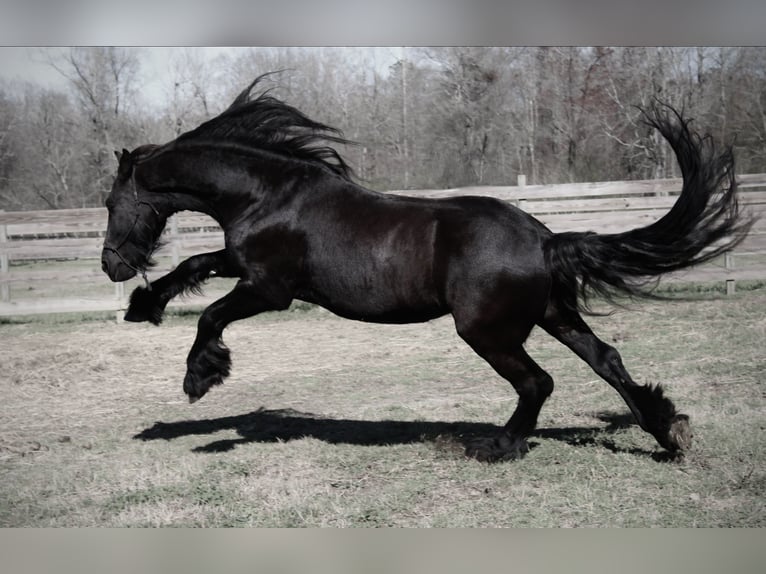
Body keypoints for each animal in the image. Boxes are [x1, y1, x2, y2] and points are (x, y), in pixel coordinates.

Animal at [99, 75, 752, 464]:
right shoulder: (243, 264)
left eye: (110, 203)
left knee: (538, 382)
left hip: (487, 330)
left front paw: (199, 380)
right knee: (607, 361)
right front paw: (143, 307)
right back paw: (669, 434)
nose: (110, 267)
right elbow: (192, 264)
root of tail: (544, 239)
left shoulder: (270, 287)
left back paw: (498, 446)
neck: (268, 194)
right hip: (553, 314)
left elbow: (210, 314)